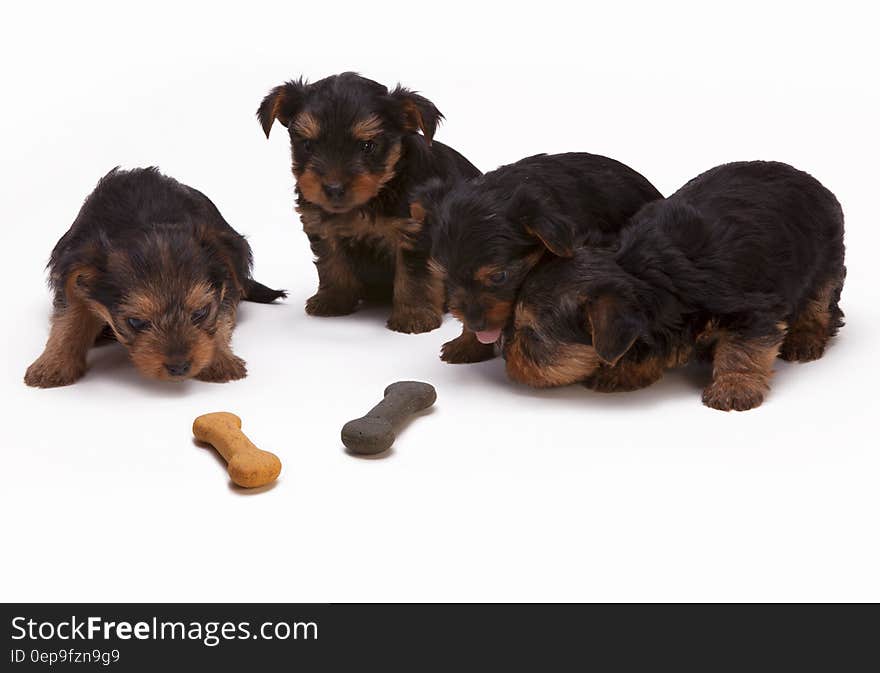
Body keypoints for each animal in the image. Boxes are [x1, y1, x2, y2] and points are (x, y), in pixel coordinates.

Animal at [24, 167, 286, 388]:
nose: (179, 367)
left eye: (201, 313)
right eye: (136, 322)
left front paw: (219, 360)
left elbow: (221, 318)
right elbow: (68, 318)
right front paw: (53, 364)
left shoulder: (226, 280)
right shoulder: (73, 273)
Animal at [260, 71, 482, 334]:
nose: (333, 188)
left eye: (367, 146)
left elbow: (415, 275)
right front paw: (333, 300)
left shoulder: (414, 231)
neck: (374, 196)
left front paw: (413, 315)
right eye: (308, 145)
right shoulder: (322, 226)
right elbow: (331, 262)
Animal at [506, 160, 848, 410]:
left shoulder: (754, 310)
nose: (504, 351)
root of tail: (808, 177)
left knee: (820, 302)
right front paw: (624, 371)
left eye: (531, 335)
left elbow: (744, 348)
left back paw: (805, 338)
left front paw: (734, 387)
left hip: (826, 259)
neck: (640, 270)